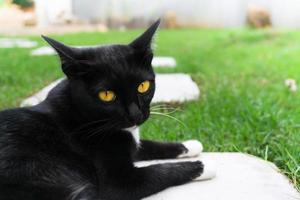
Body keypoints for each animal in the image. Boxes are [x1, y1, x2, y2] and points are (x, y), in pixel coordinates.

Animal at [0, 20, 204, 200]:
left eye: (143, 86)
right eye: (106, 95)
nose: (135, 115)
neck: (80, 117)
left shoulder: (132, 142)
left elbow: (147, 144)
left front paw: (191, 145)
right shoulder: (119, 183)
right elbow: (159, 170)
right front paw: (203, 166)